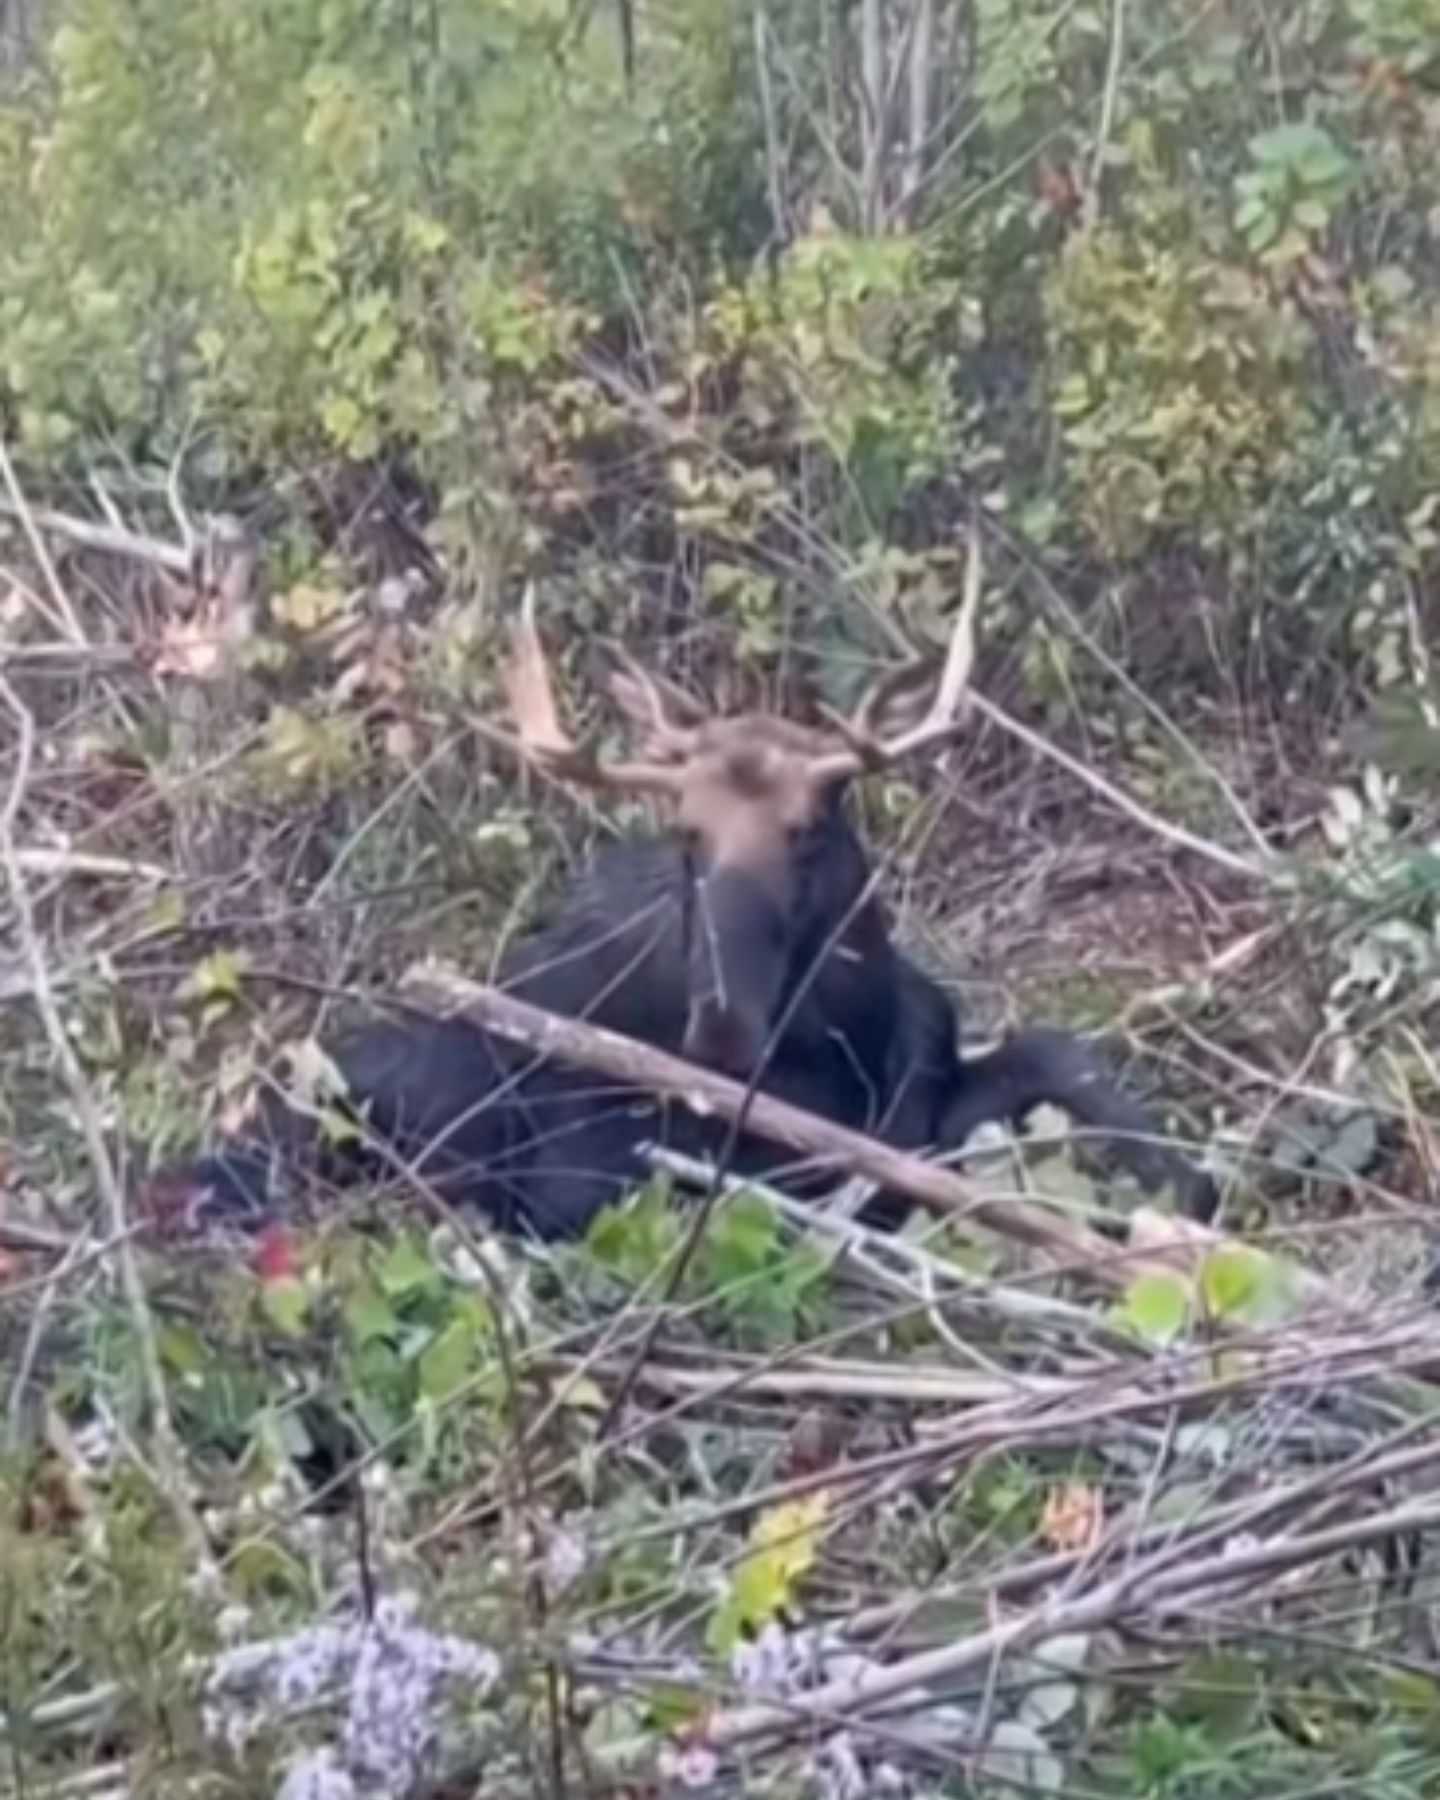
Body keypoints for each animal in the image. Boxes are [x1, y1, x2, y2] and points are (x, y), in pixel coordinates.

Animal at [148, 572, 1216, 1241]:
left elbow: (1053, 1057)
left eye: (808, 827)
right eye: (687, 835)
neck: (847, 1051)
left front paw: (1185, 1182)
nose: (724, 1023)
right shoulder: (603, 1166)